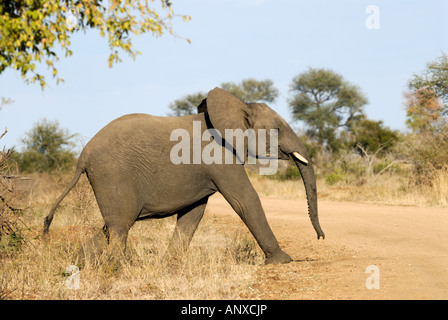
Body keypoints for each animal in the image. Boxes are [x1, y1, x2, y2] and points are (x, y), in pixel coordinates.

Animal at [43, 86, 324, 264]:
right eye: (277, 129)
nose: (321, 237)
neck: (239, 106)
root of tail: (83, 156)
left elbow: (193, 212)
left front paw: (172, 263)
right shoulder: (221, 157)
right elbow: (245, 200)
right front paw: (283, 261)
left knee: (111, 228)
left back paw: (78, 266)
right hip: (112, 175)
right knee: (120, 227)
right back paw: (119, 268)